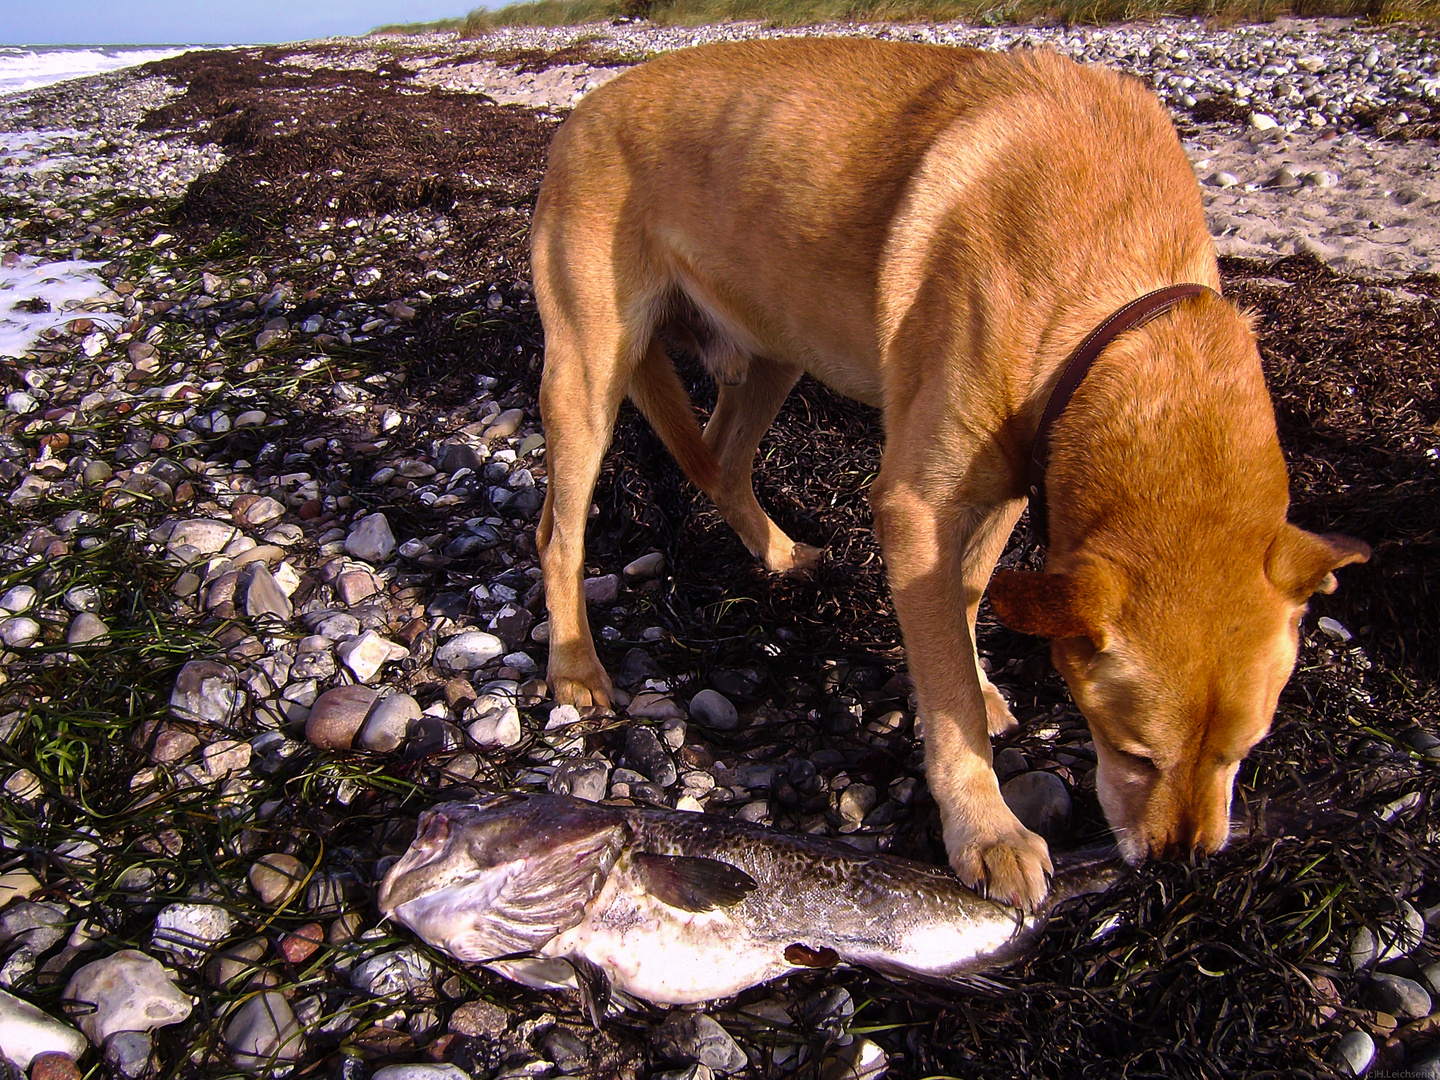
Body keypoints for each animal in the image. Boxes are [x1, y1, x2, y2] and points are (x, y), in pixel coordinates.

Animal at [532, 38, 1370, 910]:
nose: (1182, 863)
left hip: (774, 347)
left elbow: (964, 605)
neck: (1123, 311)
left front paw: (980, 686)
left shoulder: (1005, 484)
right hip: (588, 374)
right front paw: (988, 828)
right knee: (557, 531)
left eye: (1245, 752)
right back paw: (576, 666)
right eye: (1135, 751)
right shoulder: (917, 505)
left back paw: (780, 554)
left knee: (722, 462)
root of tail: (585, 108)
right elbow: (949, 682)